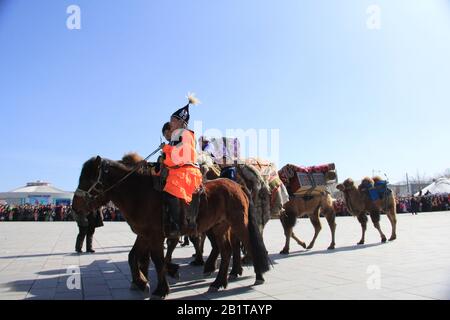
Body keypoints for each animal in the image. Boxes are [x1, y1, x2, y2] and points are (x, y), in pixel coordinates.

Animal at [73, 155, 270, 298]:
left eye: (87, 179)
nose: (75, 206)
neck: (140, 193)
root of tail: (237, 185)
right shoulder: (144, 234)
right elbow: (133, 256)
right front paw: (141, 281)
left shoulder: (155, 235)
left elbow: (158, 259)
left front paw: (161, 289)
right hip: (220, 227)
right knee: (227, 250)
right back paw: (218, 282)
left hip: (238, 223)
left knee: (248, 245)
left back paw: (258, 275)